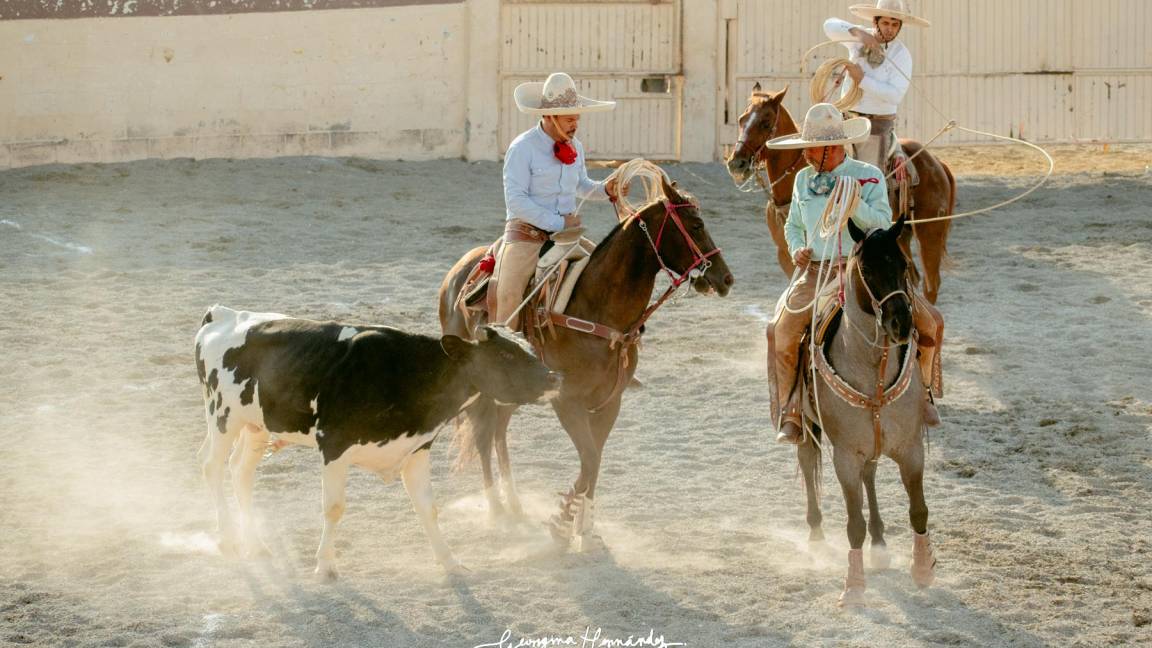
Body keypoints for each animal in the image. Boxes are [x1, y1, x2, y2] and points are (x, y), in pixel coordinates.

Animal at [193, 304, 557, 576]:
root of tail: (222, 313)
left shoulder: (416, 449)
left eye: (529, 348)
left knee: (240, 472)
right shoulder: (334, 446)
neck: (407, 373)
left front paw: (451, 562)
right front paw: (325, 566)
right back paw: (228, 541)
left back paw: (254, 543)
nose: (555, 377)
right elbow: (334, 508)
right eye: (505, 356)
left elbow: (428, 509)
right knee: (212, 466)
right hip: (223, 417)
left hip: (256, 426)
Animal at [728, 83, 953, 302]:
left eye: (765, 123)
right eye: (741, 119)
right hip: (900, 234)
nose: (736, 163)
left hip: (929, 233)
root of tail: (937, 163)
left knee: (931, 285)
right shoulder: (785, 254)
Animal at [801, 214, 935, 604]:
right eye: (867, 269)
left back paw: (880, 543)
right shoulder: (844, 457)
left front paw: (923, 569)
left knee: (870, 476)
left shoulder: (911, 449)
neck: (872, 369)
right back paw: (816, 537)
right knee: (807, 463)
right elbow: (853, 524)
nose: (901, 323)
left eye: (903, 264)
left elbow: (919, 510)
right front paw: (854, 588)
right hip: (804, 426)